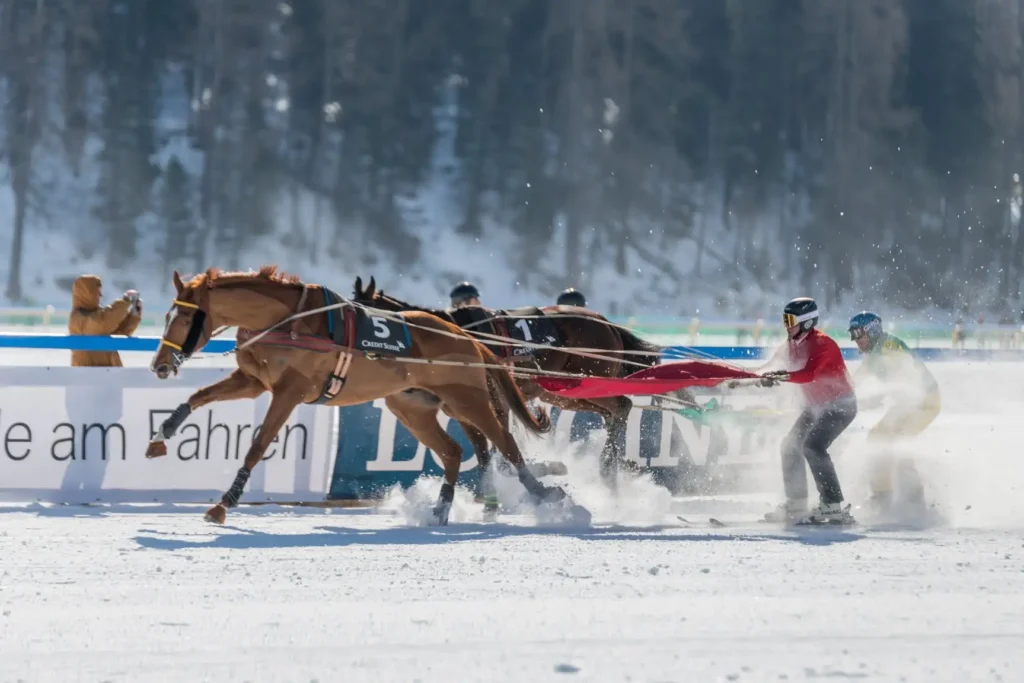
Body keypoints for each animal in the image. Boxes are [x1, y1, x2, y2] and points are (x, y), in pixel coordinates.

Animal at [145, 266, 575, 526]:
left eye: (185, 316)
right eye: (167, 316)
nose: (160, 365)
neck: (284, 322)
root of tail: (467, 337)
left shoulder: (289, 391)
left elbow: (258, 444)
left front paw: (225, 502)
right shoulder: (254, 380)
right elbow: (199, 396)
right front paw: (162, 434)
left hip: (466, 398)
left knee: (504, 444)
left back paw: (544, 494)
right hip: (411, 406)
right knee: (455, 451)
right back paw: (441, 507)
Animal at [351, 276, 671, 511]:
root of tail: (608, 324)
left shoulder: (492, 398)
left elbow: (499, 446)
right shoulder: (464, 407)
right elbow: (484, 449)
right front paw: (490, 498)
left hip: (587, 380)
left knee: (622, 406)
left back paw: (607, 469)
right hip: (563, 393)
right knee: (612, 413)